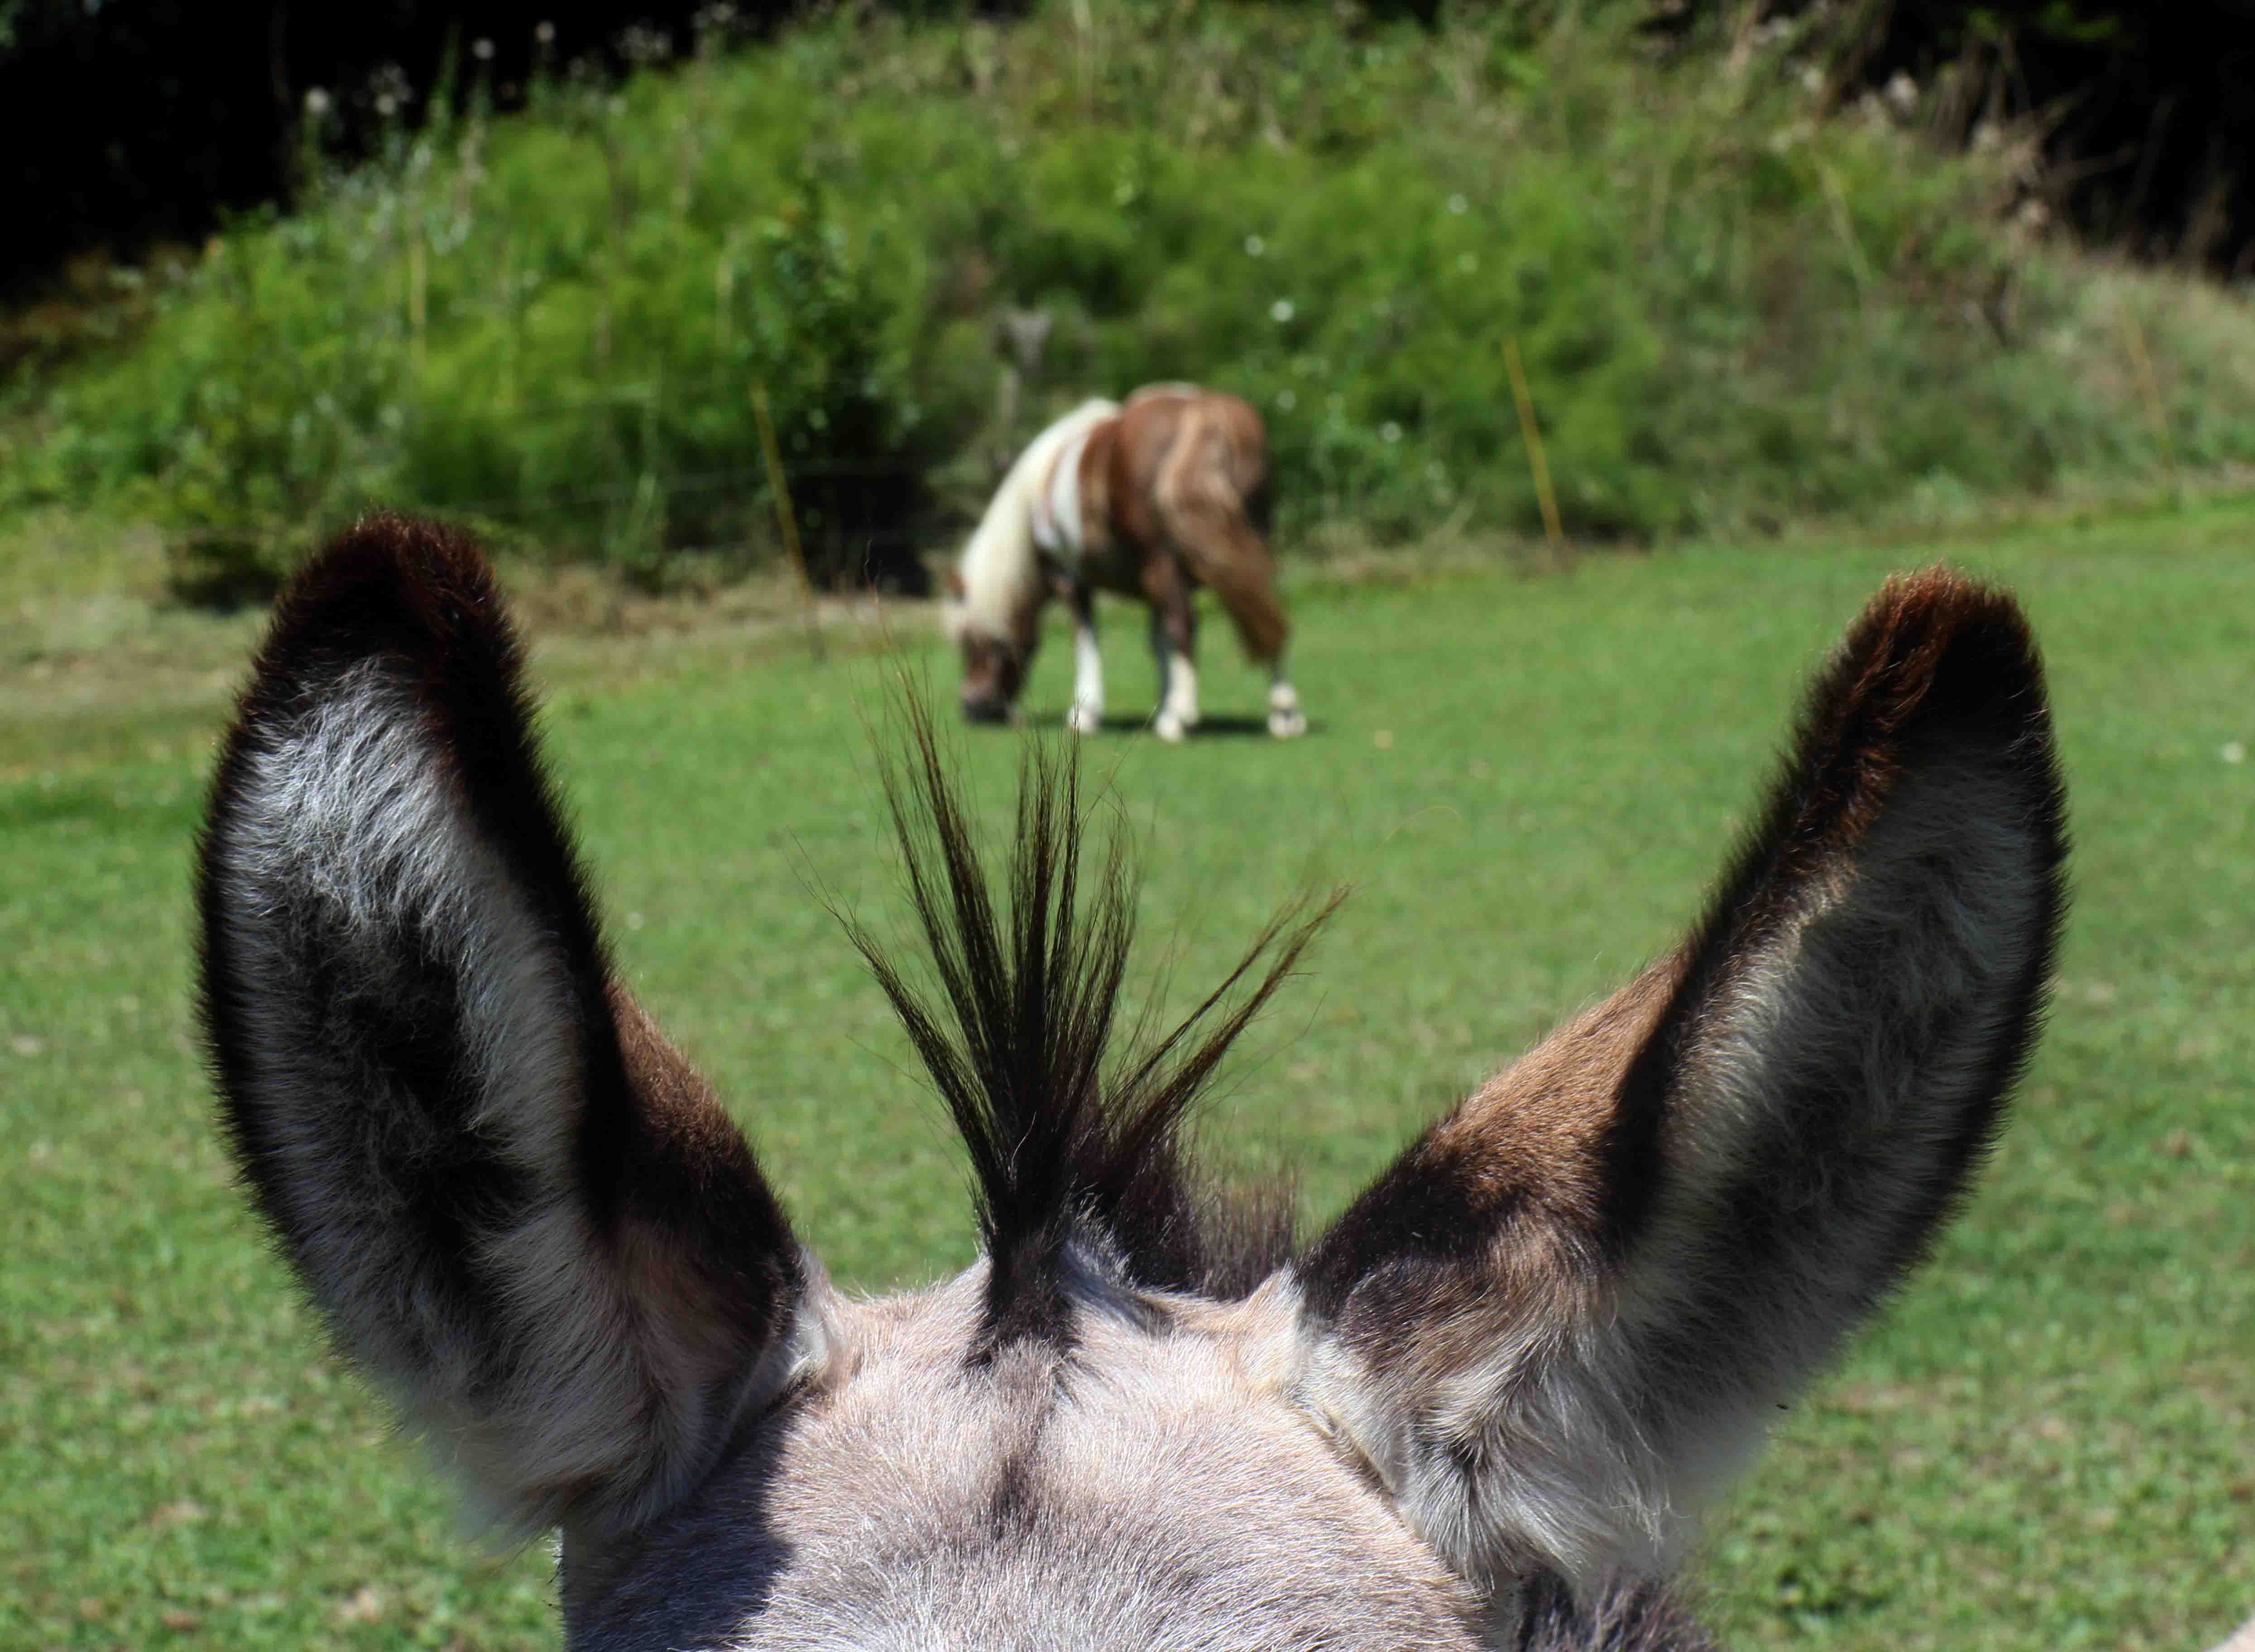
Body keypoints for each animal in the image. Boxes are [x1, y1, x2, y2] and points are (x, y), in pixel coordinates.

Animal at [944, 384, 1306, 741]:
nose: (972, 709)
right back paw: (1283, 713)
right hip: (1254, 545)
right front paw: (1162, 704)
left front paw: (1087, 713)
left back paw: (1182, 717)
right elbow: (1159, 643)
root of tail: (1205, 414)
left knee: (1187, 625)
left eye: (969, 642)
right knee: (1269, 618)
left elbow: (1087, 638)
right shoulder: (1152, 585)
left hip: (1166, 562)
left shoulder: (1072, 580)